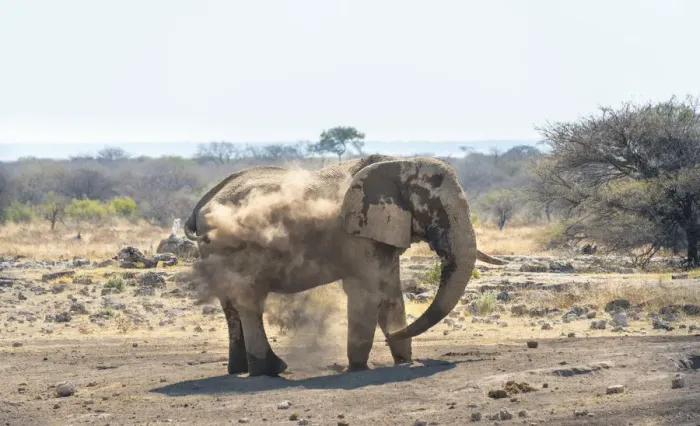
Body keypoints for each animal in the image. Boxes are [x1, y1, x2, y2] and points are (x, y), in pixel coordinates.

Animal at [183, 154, 507, 377]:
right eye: (436, 209)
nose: (395, 339)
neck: (398, 163)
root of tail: (201, 204)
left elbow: (391, 295)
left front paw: (403, 361)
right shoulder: (356, 234)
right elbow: (369, 294)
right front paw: (358, 368)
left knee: (230, 305)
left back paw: (240, 369)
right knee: (248, 301)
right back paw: (270, 371)